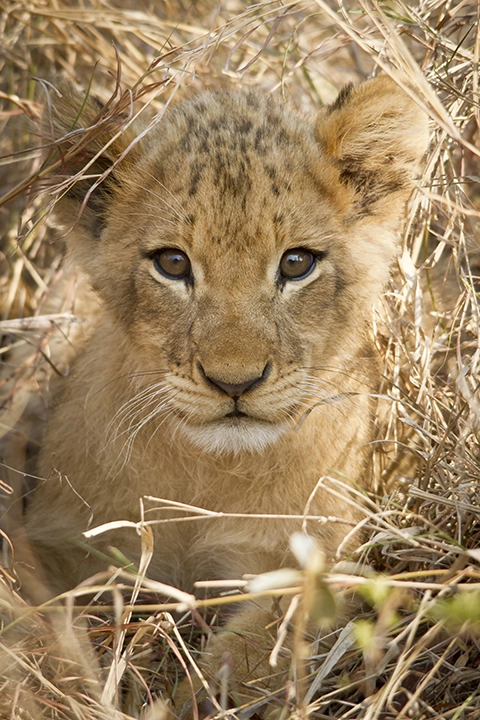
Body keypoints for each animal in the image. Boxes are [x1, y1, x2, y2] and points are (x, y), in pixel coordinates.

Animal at [18, 76, 428, 714]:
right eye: (172, 263)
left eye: (297, 263)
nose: (235, 382)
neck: (208, 473)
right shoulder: (60, 540)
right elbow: (36, 611)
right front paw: (78, 677)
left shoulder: (327, 560)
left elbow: (259, 648)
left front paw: (193, 699)